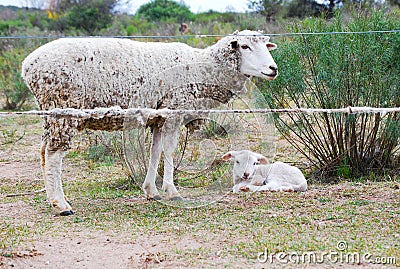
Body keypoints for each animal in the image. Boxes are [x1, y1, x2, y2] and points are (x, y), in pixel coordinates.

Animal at [21, 29, 278, 215]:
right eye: (244, 46)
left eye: (265, 46)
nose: (273, 69)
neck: (202, 69)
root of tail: (28, 66)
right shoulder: (173, 112)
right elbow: (170, 151)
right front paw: (172, 191)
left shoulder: (158, 118)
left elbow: (155, 152)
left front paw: (151, 191)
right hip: (63, 109)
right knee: (54, 155)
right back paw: (61, 205)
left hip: (51, 114)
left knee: (44, 152)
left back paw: (52, 199)